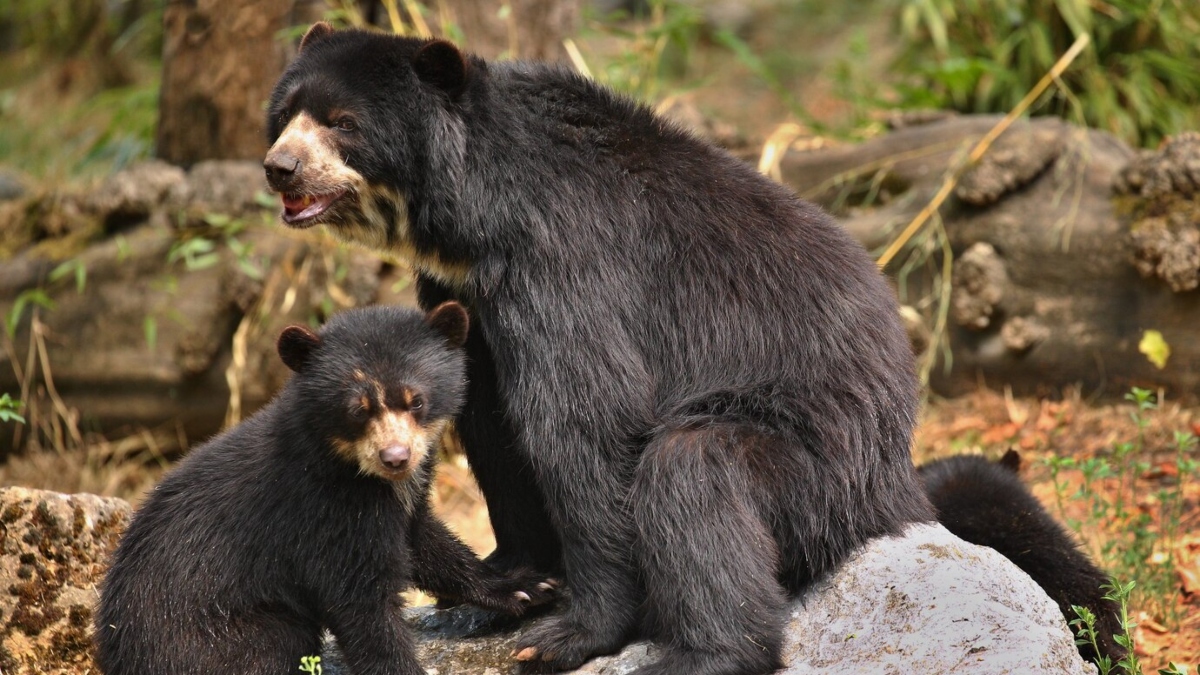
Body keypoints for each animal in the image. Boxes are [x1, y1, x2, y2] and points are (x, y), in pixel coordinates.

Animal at [96, 303, 554, 672]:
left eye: (417, 400)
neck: (360, 475)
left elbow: (427, 544)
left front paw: (527, 587)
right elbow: (362, 605)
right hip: (221, 632)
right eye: (357, 410)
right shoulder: (321, 511)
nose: (396, 458)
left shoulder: (397, 503)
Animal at [265, 22, 936, 672]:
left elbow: (584, 418)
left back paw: (704, 654)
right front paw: (514, 578)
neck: (474, 219)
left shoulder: (565, 259)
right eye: (285, 114)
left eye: (342, 122)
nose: (280, 167)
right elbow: (489, 420)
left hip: (818, 459)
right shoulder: (463, 292)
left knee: (693, 472)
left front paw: (568, 634)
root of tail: (900, 482)